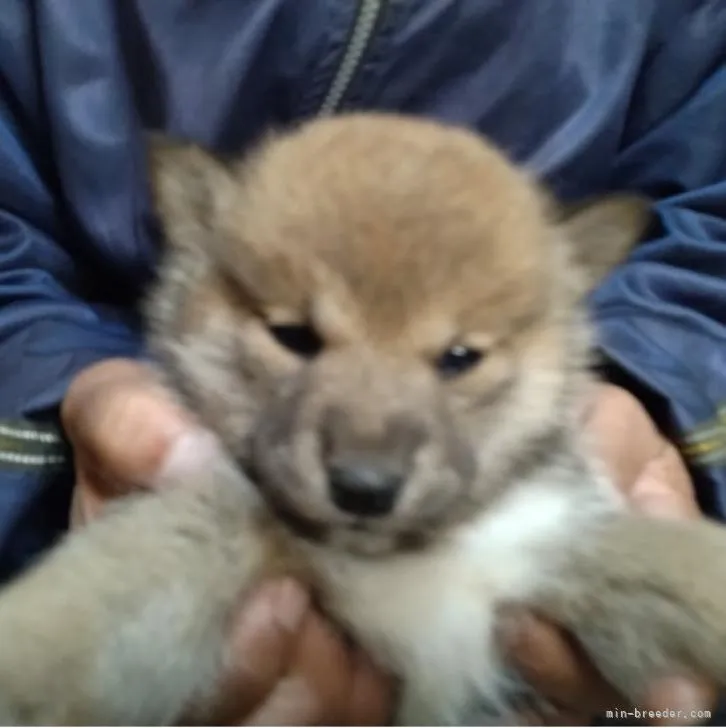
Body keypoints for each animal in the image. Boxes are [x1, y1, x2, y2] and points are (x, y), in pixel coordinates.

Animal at [1, 111, 726, 724]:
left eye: (459, 358)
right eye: (294, 337)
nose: (365, 489)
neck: (407, 561)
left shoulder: (548, 542)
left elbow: (686, 567)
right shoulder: (218, 528)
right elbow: (92, 606)